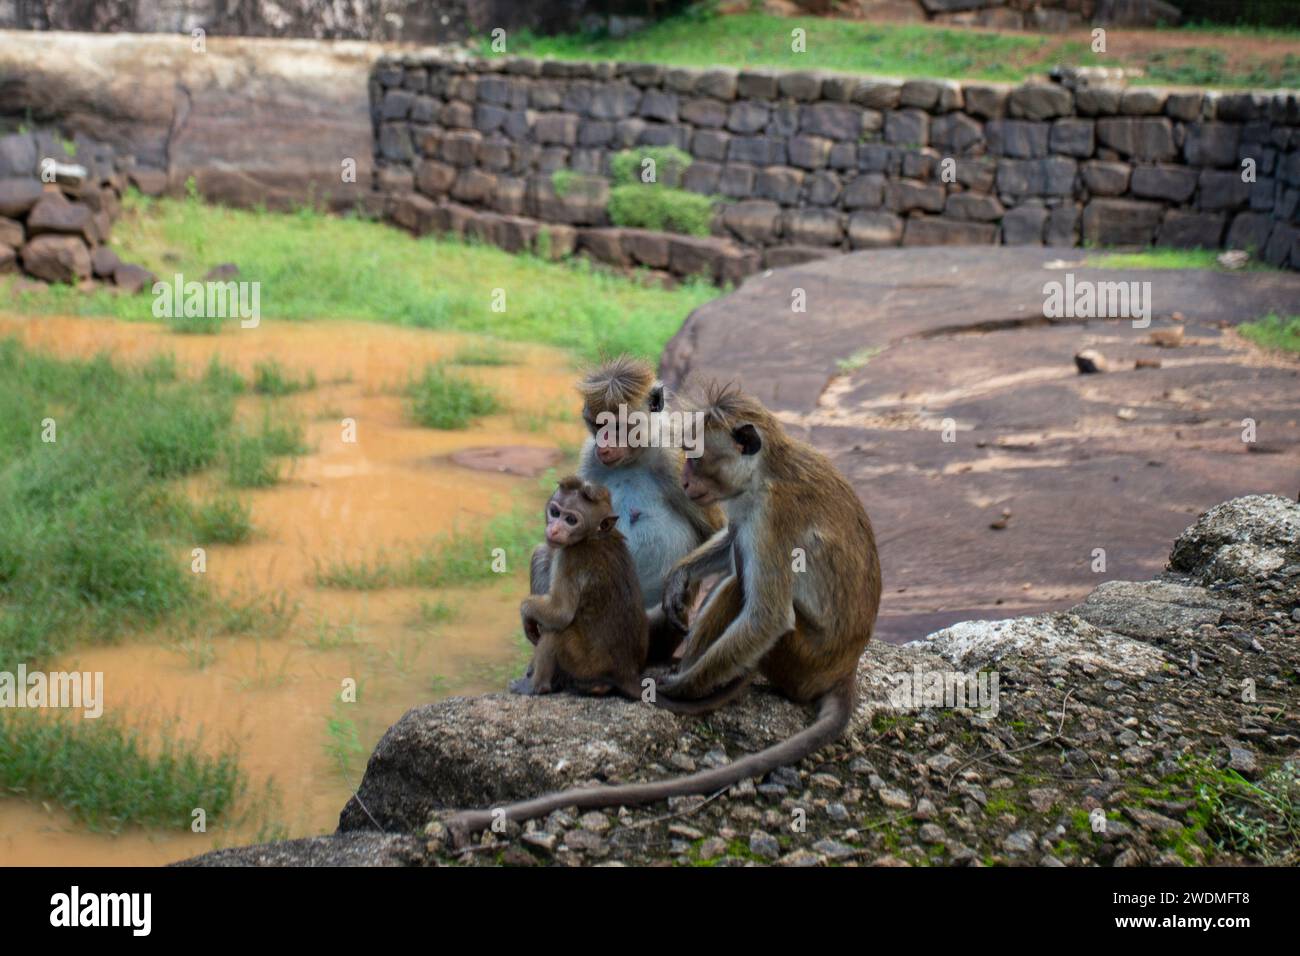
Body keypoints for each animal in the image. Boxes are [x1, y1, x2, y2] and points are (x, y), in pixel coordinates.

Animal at [509, 476, 647, 697]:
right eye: (555, 512)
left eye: (571, 520)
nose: (554, 529)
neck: (592, 536)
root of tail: (626, 673)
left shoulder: (569, 557)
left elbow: (561, 612)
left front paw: (526, 611)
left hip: (584, 664)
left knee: (556, 630)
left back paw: (536, 686)